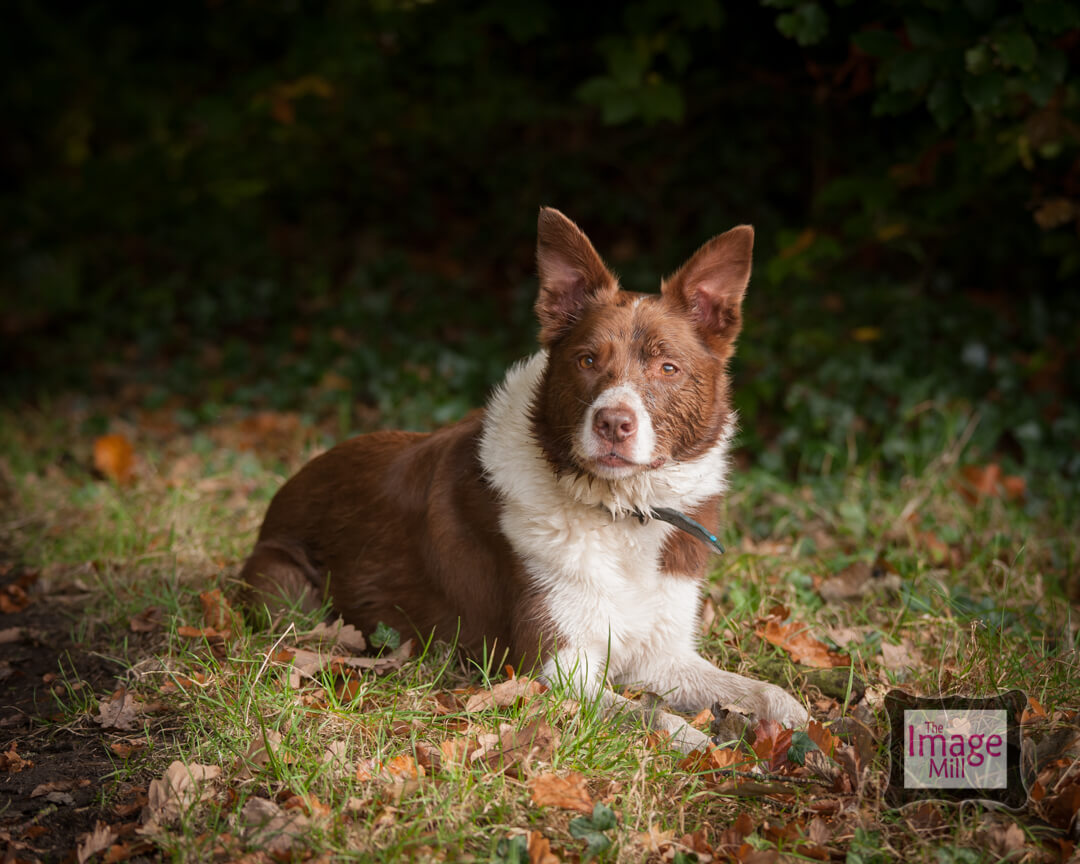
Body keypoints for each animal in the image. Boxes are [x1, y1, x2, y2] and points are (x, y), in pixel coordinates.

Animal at [240, 207, 807, 747]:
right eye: (586, 360)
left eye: (667, 368)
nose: (613, 423)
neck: (621, 510)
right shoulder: (553, 669)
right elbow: (650, 717)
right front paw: (700, 742)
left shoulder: (662, 654)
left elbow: (766, 691)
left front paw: (803, 728)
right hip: (289, 594)